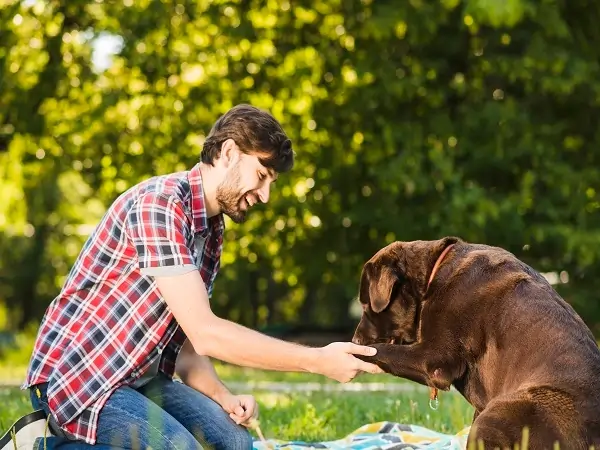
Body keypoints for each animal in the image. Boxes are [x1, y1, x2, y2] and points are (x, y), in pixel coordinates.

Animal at [352, 237, 600, 448]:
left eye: (365, 305)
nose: (354, 338)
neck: (435, 271)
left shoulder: (434, 359)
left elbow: (380, 350)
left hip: (505, 409)